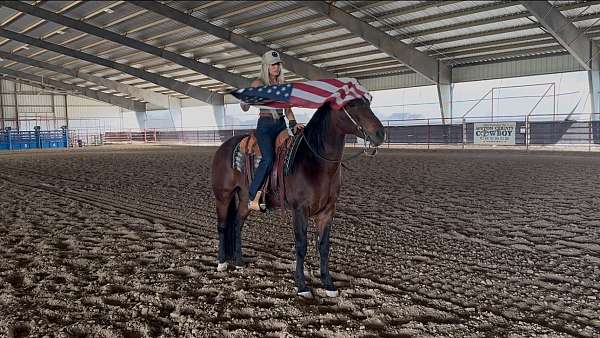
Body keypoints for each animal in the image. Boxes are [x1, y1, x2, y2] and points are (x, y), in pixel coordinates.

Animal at [211, 97, 384, 298]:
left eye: (368, 103)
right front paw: (302, 286)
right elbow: (301, 246)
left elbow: (323, 246)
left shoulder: (327, 211)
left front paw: (328, 284)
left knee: (237, 224)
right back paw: (222, 263)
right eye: (351, 105)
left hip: (245, 198)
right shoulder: (300, 210)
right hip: (223, 196)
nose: (380, 133)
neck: (314, 161)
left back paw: (239, 262)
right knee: (223, 226)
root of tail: (224, 147)